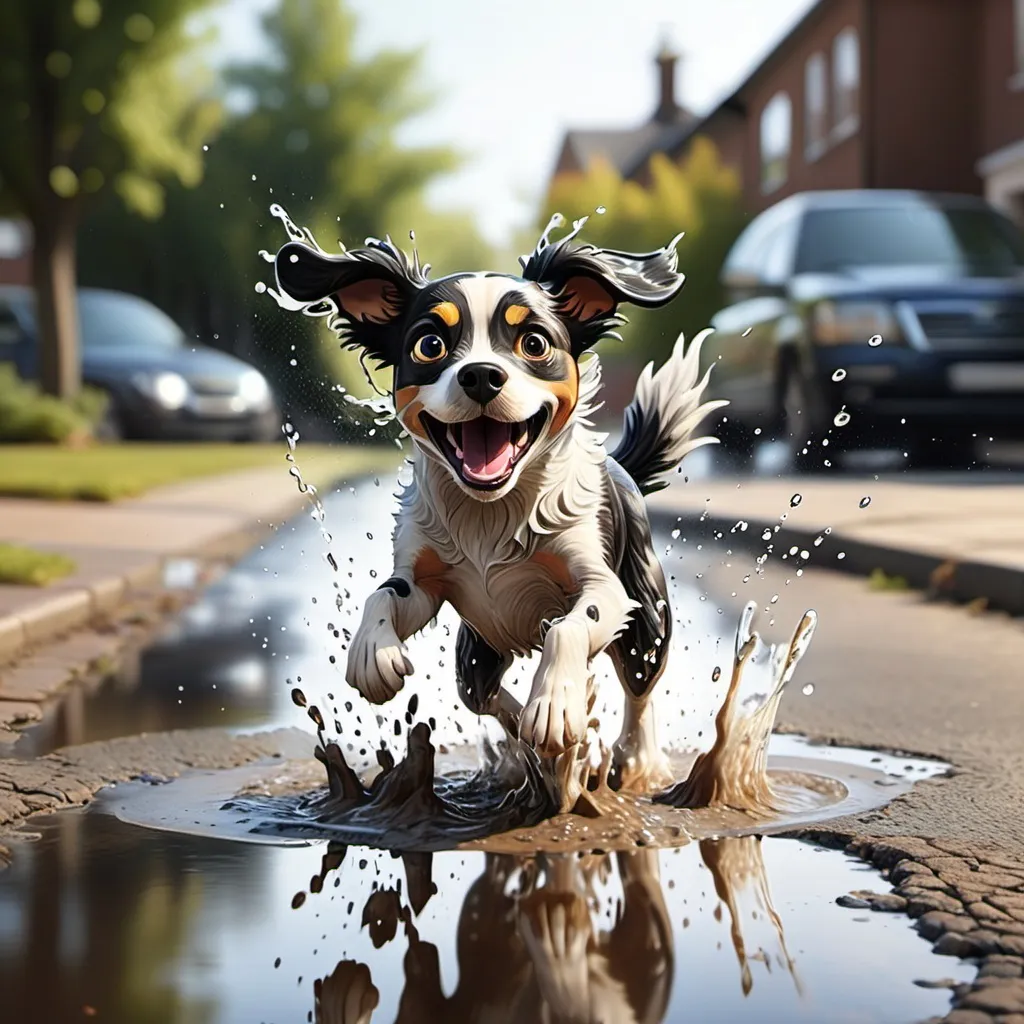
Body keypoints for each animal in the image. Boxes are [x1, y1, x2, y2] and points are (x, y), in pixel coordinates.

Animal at [272, 220, 720, 786]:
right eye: (430, 345)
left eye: (534, 343)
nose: (481, 374)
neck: (491, 512)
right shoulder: (424, 579)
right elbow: (386, 595)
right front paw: (372, 654)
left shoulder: (604, 587)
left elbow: (571, 626)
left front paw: (554, 704)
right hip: (476, 646)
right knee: (481, 694)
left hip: (646, 615)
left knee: (639, 687)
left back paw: (634, 758)